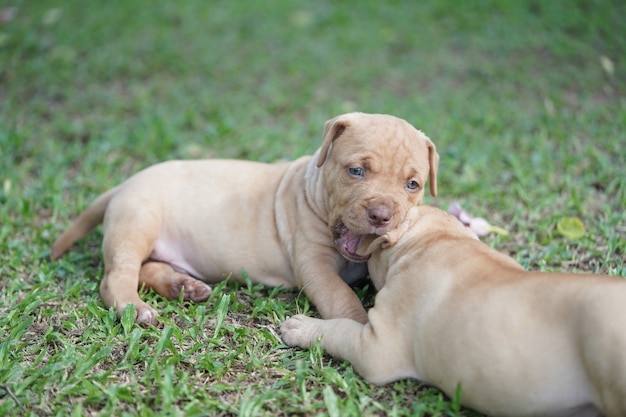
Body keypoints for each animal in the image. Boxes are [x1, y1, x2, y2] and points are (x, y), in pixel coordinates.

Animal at [51, 113, 436, 324]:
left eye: (412, 184)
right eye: (356, 171)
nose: (381, 215)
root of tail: (123, 184)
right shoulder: (314, 266)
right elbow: (341, 297)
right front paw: (355, 325)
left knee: (145, 270)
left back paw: (183, 286)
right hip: (136, 224)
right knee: (118, 276)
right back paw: (136, 308)